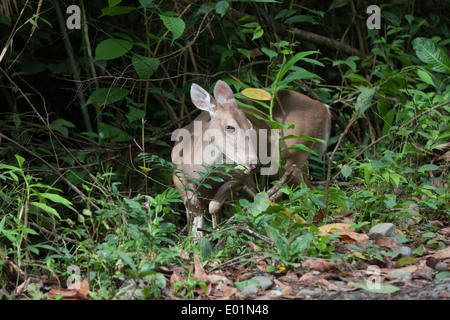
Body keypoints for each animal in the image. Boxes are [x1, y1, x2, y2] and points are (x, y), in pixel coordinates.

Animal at [171, 80, 330, 239]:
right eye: (230, 127)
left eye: (251, 126)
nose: (253, 162)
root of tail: (323, 108)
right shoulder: (179, 180)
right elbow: (194, 216)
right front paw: (195, 240)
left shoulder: (236, 175)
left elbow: (213, 207)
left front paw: (216, 235)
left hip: (292, 156)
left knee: (310, 193)